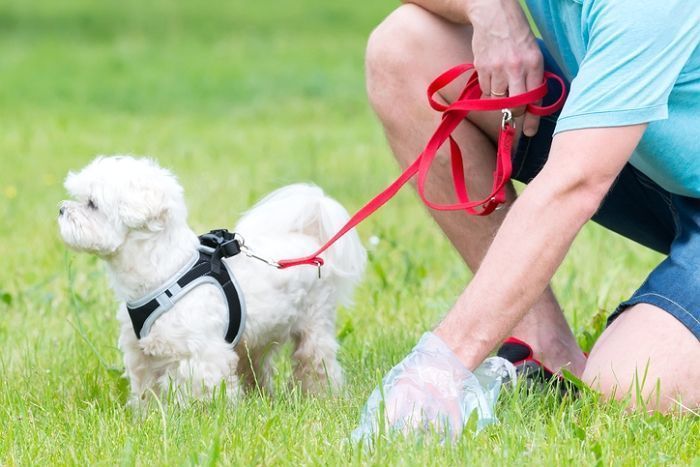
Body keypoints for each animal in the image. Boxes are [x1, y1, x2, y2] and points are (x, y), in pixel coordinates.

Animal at [58, 156, 366, 406]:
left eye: (92, 204)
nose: (61, 208)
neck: (164, 271)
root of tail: (309, 241)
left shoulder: (201, 355)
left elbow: (201, 391)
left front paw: (200, 419)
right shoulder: (142, 355)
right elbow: (146, 392)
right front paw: (148, 418)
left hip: (314, 323)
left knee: (316, 362)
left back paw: (324, 397)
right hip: (253, 339)